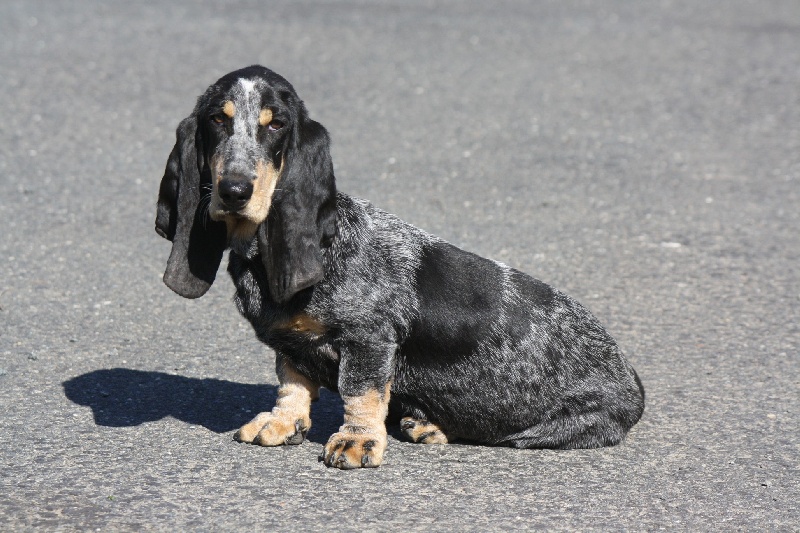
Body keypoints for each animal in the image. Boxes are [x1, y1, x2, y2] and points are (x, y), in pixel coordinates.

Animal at [155, 64, 644, 468]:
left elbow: (361, 392)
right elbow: (291, 383)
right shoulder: (290, 345)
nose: (234, 190)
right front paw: (282, 421)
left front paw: (357, 440)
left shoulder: (369, 338)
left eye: (275, 125)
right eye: (218, 120)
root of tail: (631, 378)